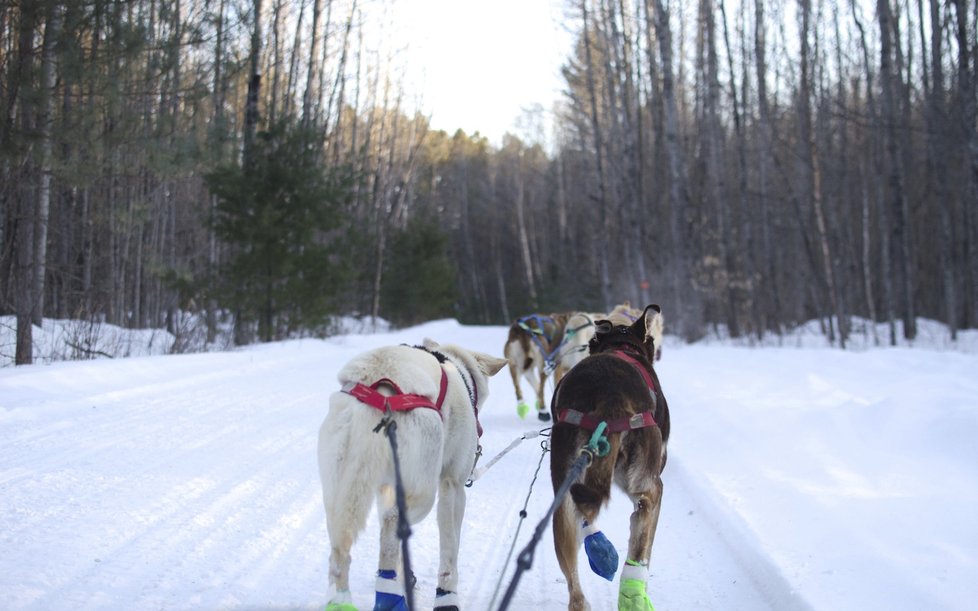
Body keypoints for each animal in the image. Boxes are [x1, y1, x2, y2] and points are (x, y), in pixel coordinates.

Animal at [318, 340, 508, 611]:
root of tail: (380, 392)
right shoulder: (452, 487)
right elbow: (450, 550)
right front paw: (446, 596)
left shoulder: (386, 489)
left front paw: (406, 577)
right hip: (424, 493)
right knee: (389, 530)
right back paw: (389, 596)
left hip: (339, 496)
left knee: (339, 552)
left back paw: (341, 600)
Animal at [544, 306, 668, 611]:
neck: (621, 345)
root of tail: (610, 398)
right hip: (649, 485)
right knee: (641, 535)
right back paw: (633, 593)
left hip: (562, 501)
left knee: (575, 590)